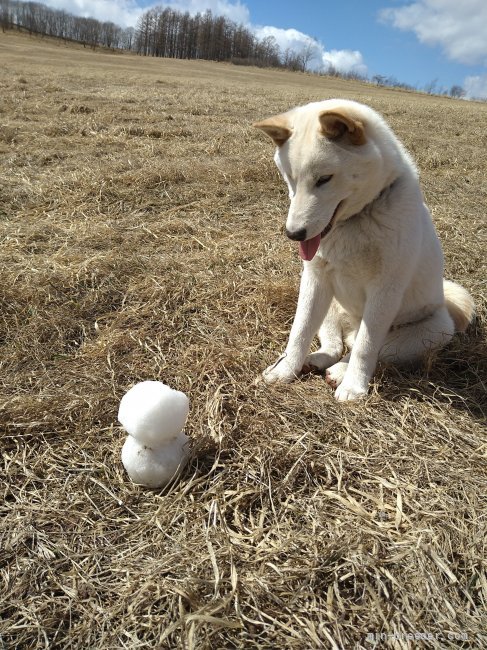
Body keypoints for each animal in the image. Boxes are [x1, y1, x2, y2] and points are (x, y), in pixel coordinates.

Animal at [254, 98, 474, 398]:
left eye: (324, 179)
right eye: (290, 178)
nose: (293, 234)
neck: (355, 220)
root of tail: (352, 327)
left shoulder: (384, 290)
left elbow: (366, 348)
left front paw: (354, 387)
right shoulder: (314, 279)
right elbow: (299, 332)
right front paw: (285, 370)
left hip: (430, 331)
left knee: (364, 347)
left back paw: (340, 372)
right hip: (329, 304)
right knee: (335, 345)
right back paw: (315, 360)